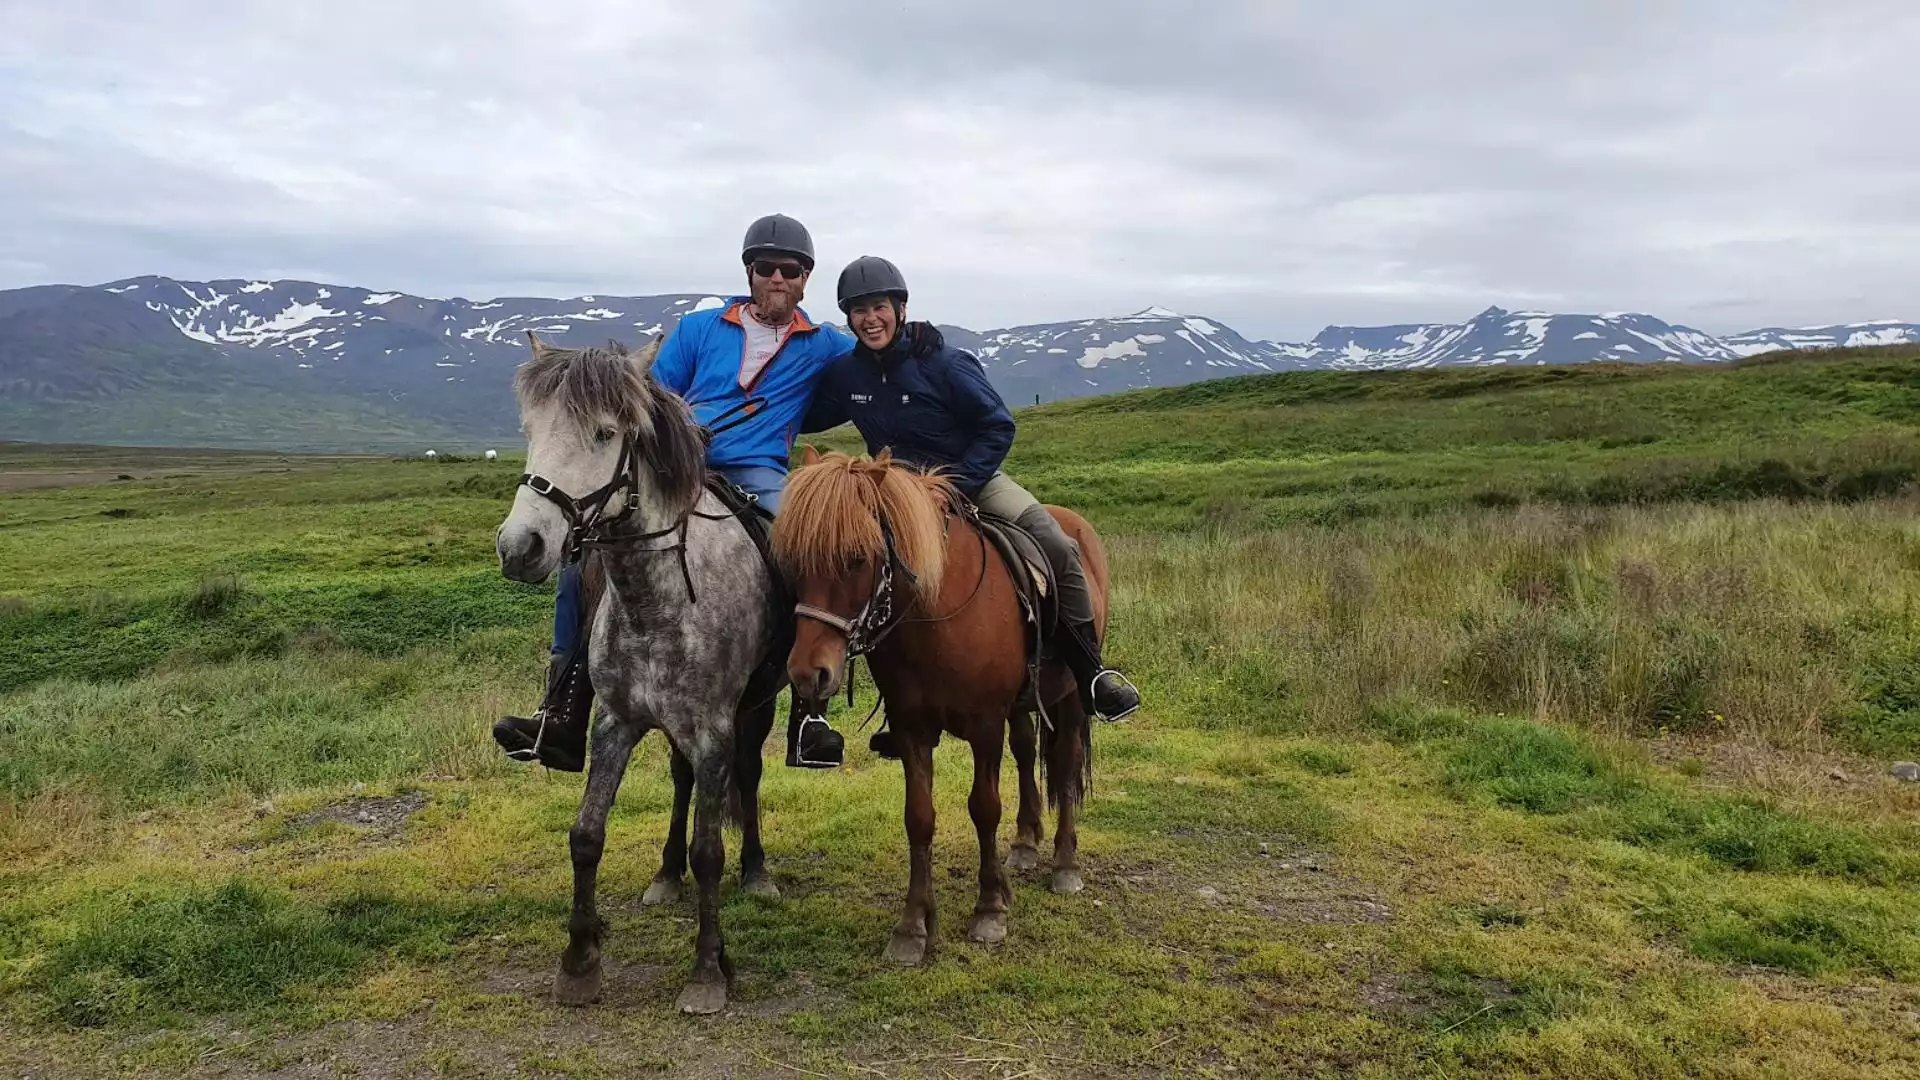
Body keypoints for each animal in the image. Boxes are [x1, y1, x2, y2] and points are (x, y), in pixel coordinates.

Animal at [503, 334, 794, 1006]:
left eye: (606, 433)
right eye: (530, 428)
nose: (520, 547)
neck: (654, 597)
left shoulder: (714, 729)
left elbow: (711, 849)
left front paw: (709, 970)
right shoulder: (615, 722)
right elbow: (586, 835)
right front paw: (579, 962)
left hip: (756, 706)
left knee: (749, 775)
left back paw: (757, 871)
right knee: (681, 779)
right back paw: (666, 873)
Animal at [764, 445, 1098, 957]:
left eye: (856, 558)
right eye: (792, 561)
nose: (807, 672)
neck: (937, 615)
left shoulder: (984, 726)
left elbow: (984, 808)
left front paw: (989, 909)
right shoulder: (912, 729)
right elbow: (918, 818)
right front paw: (913, 926)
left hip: (1072, 697)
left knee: (1064, 762)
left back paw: (1064, 863)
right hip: (1023, 706)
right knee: (1026, 753)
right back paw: (1024, 843)